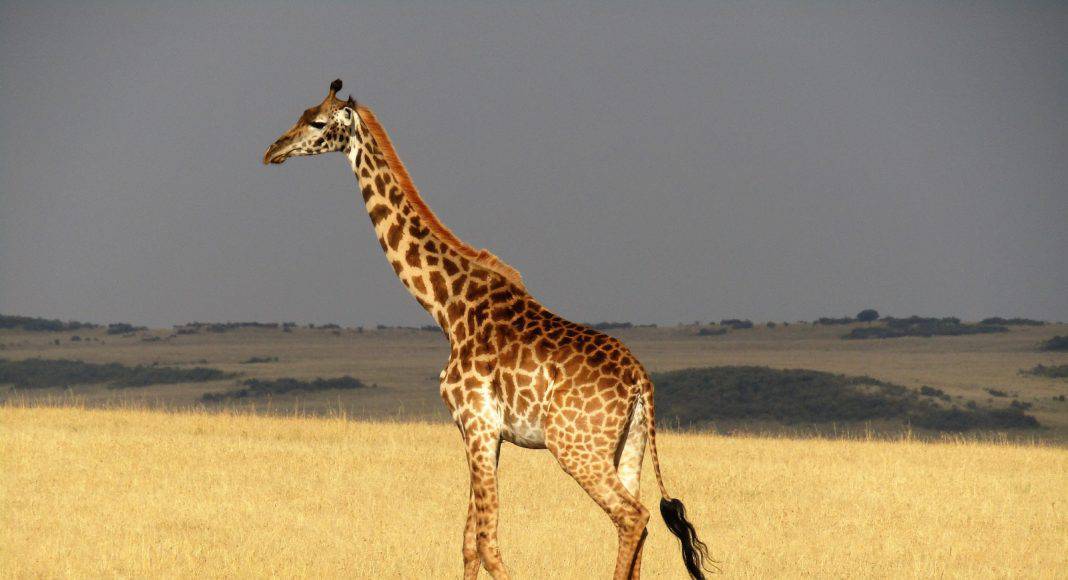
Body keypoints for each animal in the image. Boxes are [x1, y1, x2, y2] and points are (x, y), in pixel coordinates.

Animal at [264, 79, 711, 580]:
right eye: (300, 114)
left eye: (318, 121)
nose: (273, 149)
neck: (447, 307)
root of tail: (640, 384)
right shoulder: (481, 431)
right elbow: (468, 542)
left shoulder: (477, 422)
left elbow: (487, 542)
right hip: (627, 447)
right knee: (639, 525)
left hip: (576, 447)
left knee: (633, 516)